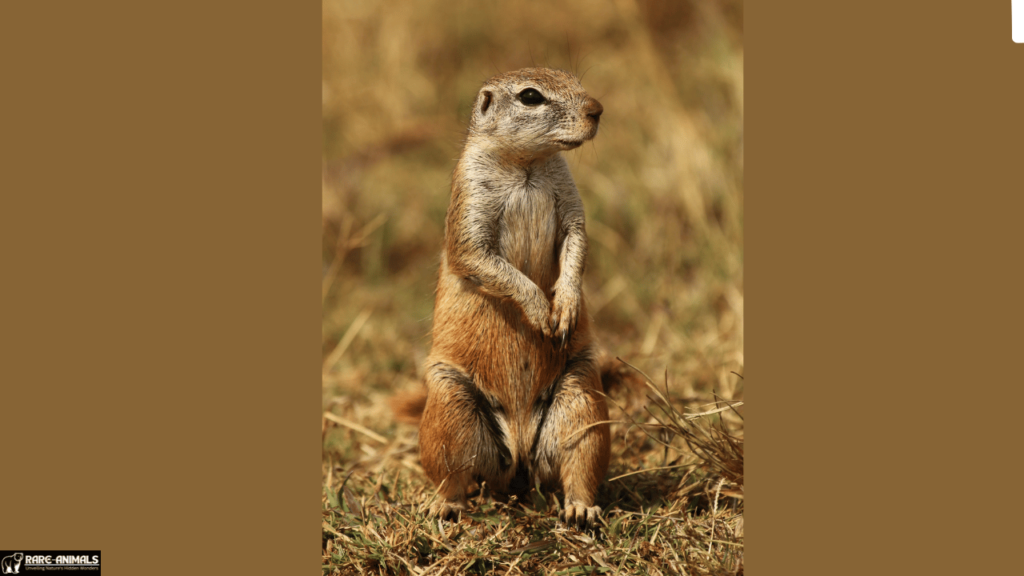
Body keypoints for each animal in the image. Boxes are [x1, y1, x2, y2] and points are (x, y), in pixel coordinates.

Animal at [399, 67, 606, 524]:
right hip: (450, 405)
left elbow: (577, 240)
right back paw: (443, 505)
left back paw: (580, 509)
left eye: (575, 79)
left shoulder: (570, 200)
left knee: (578, 462)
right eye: (530, 97)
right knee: (454, 474)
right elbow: (481, 258)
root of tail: (521, 453)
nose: (597, 109)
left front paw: (565, 306)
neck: (525, 165)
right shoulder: (470, 200)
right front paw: (540, 310)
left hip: (581, 396)